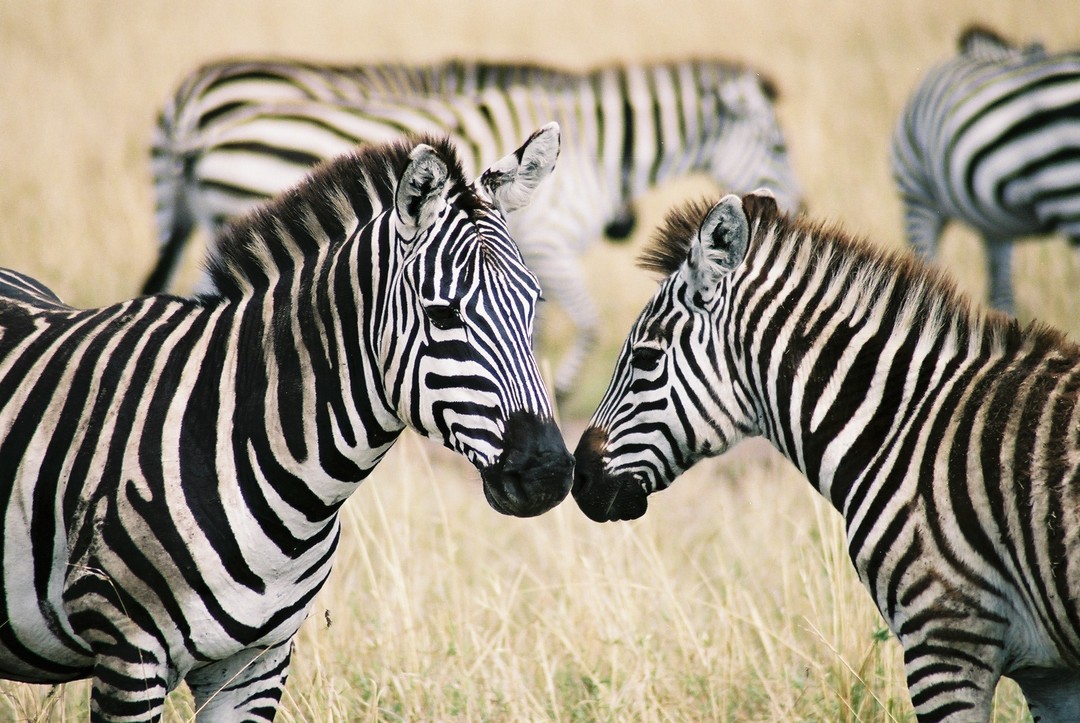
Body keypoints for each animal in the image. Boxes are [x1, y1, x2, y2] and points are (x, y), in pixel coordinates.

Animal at [147, 57, 804, 398]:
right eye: (778, 145)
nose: (789, 212)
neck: (595, 145)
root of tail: (195, 122)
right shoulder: (549, 245)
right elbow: (591, 322)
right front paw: (563, 388)